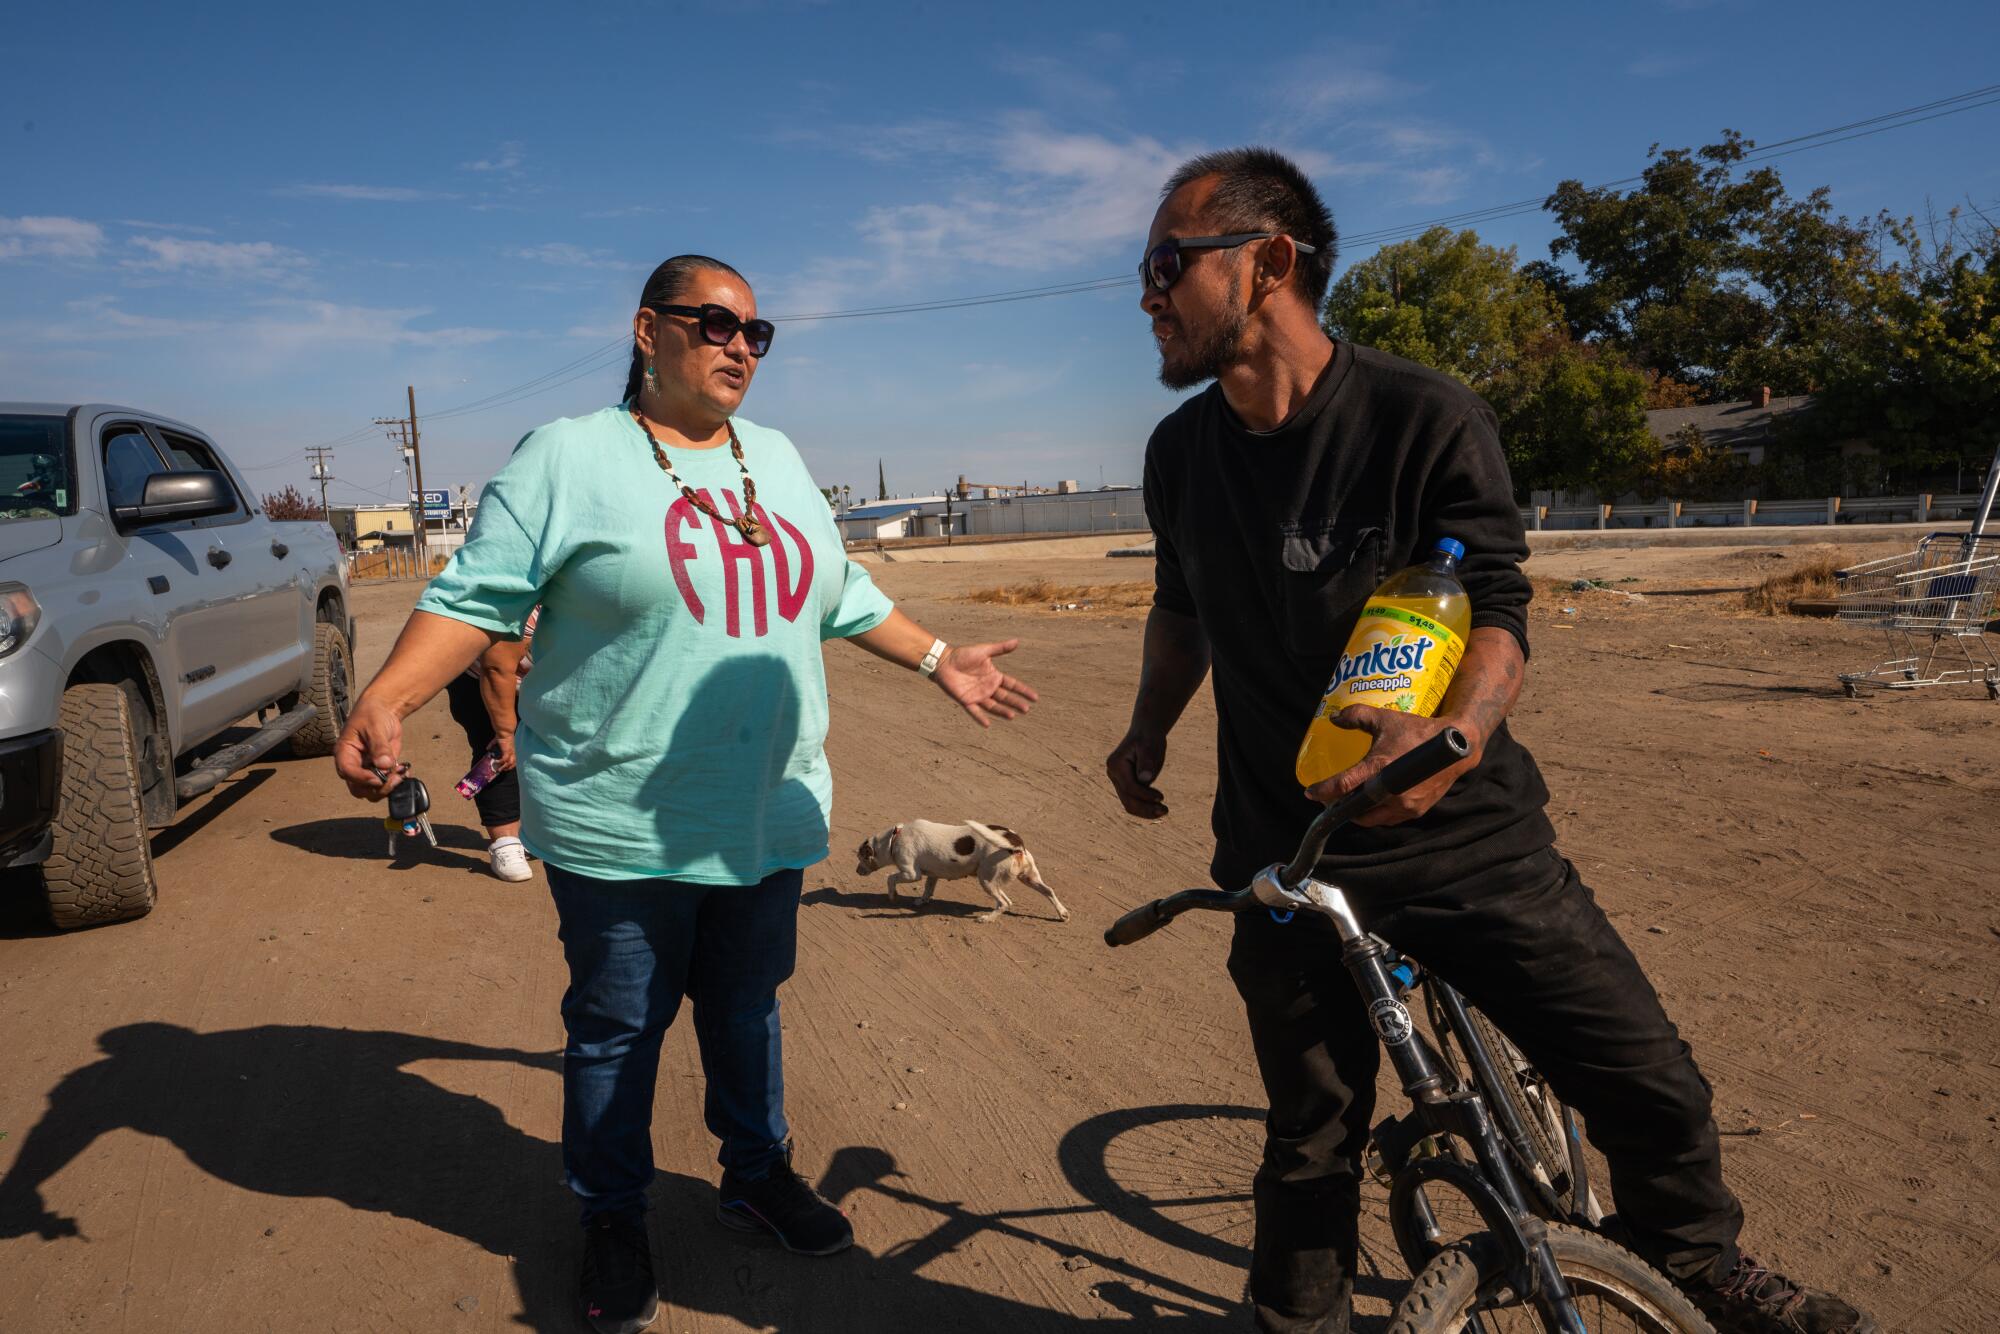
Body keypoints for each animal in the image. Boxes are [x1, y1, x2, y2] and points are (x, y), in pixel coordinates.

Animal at [864, 820, 1080, 924]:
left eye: (860, 857)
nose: (858, 871)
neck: (894, 838)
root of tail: (1015, 842)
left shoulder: (910, 874)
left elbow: (891, 879)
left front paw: (893, 897)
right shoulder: (932, 875)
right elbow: (928, 890)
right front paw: (922, 901)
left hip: (987, 880)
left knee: (1005, 903)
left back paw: (986, 919)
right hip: (1028, 877)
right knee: (1049, 891)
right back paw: (1062, 913)